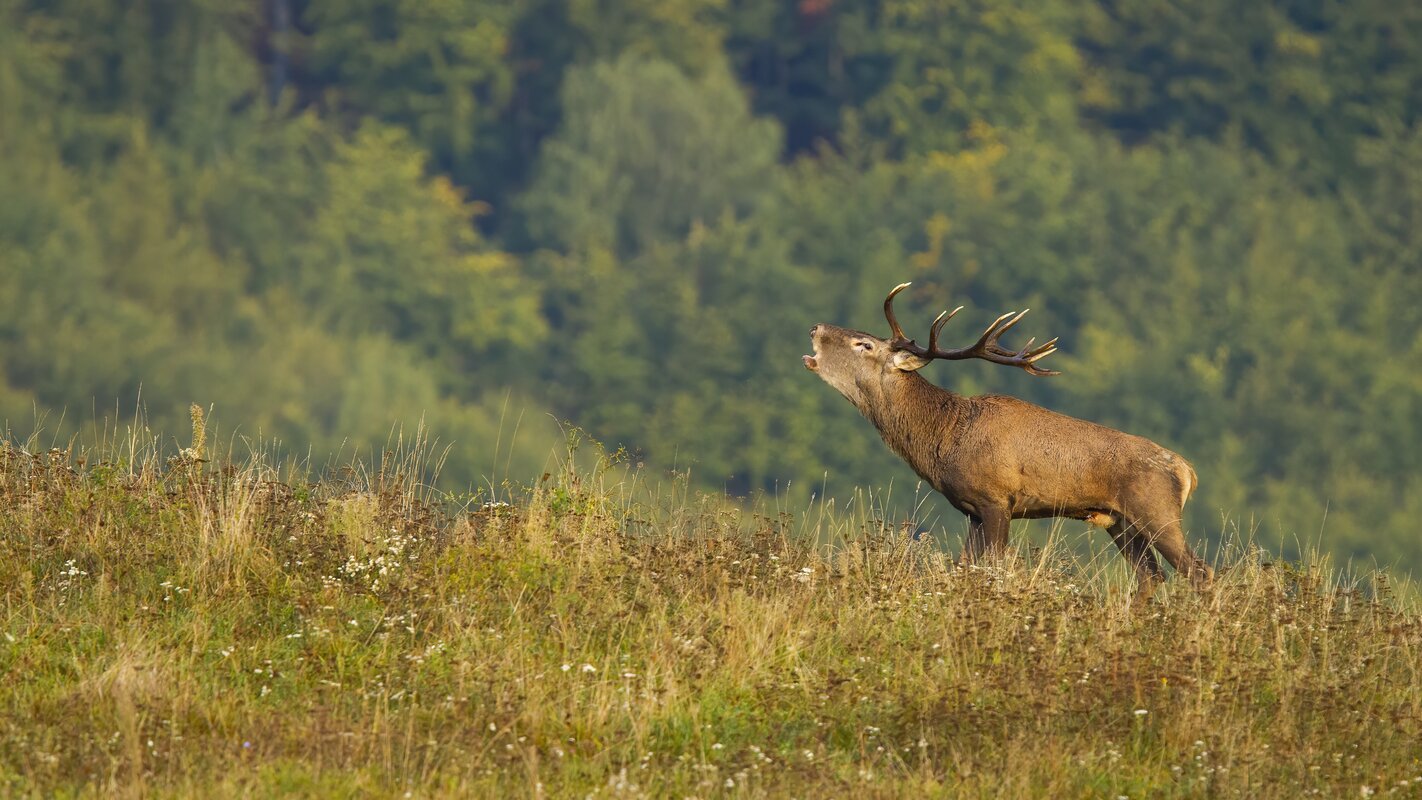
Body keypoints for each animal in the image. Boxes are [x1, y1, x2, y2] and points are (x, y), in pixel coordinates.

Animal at [807, 284, 1217, 596]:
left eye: (864, 344)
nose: (815, 327)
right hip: (1119, 521)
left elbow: (991, 570)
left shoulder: (997, 500)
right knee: (1151, 576)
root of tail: (1187, 471)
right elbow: (964, 569)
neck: (943, 439)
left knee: (1198, 572)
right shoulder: (971, 510)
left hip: (1156, 510)